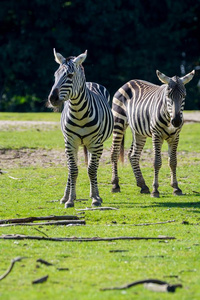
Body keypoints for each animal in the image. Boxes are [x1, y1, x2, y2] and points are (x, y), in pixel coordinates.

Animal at [47, 49, 113, 209]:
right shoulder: (70, 143)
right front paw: (70, 200)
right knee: (72, 168)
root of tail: (90, 83)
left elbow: (92, 169)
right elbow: (73, 170)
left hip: (96, 144)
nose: (52, 99)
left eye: (70, 75)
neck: (78, 113)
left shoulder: (96, 143)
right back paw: (65, 196)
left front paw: (95, 198)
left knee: (92, 166)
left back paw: (95, 194)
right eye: (55, 75)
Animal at [110, 69, 195, 198]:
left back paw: (143, 185)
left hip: (138, 131)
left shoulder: (175, 137)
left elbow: (173, 162)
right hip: (118, 121)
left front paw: (176, 188)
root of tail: (129, 82)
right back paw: (115, 185)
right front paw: (155, 190)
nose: (176, 121)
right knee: (114, 153)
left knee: (133, 155)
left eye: (183, 96)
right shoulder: (157, 135)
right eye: (168, 96)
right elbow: (157, 162)